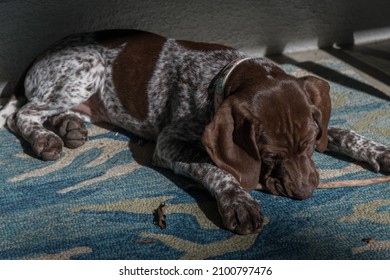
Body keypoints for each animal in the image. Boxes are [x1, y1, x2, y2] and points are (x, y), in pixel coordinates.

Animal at [2, 29, 390, 234]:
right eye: (269, 156)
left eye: (310, 144)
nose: (307, 193)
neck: (219, 75)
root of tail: (37, 57)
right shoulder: (168, 145)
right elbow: (216, 170)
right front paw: (238, 201)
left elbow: (340, 132)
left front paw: (378, 151)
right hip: (85, 72)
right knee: (20, 114)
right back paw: (46, 138)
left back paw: (67, 127)